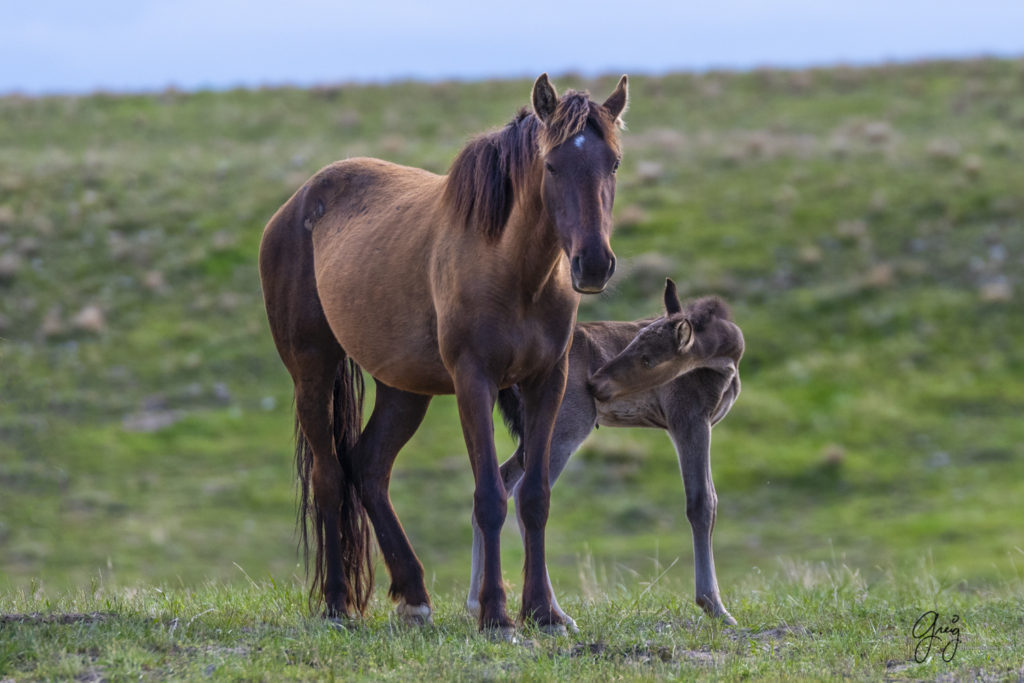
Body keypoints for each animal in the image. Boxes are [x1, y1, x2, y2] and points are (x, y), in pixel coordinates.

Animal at [260, 74, 626, 634]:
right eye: (551, 165)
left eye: (614, 163)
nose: (593, 264)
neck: (515, 271)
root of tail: (295, 205)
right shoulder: (474, 381)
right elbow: (490, 497)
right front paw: (496, 614)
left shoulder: (548, 380)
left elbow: (535, 497)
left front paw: (542, 613)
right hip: (312, 373)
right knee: (329, 476)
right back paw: (338, 605)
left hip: (403, 389)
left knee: (368, 468)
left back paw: (413, 595)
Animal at [466, 278, 745, 630]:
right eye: (636, 349)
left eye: (647, 358)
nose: (596, 384)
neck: (727, 361)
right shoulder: (689, 419)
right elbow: (702, 503)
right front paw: (715, 606)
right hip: (566, 426)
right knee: (523, 495)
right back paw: (556, 614)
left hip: (531, 437)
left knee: (500, 481)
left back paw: (475, 603)